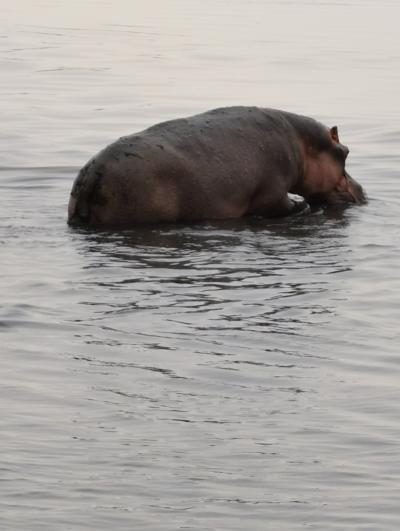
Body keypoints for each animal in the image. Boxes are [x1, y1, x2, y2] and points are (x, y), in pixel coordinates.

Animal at [69, 107, 366, 225]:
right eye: (345, 152)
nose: (362, 189)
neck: (304, 145)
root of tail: (91, 175)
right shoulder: (271, 194)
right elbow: (286, 205)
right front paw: (301, 205)